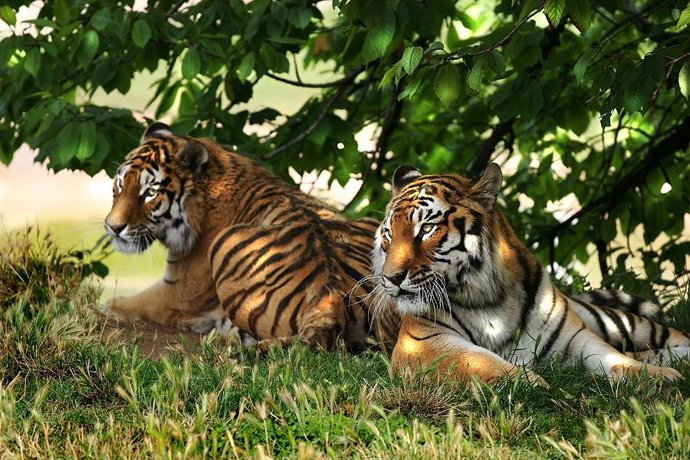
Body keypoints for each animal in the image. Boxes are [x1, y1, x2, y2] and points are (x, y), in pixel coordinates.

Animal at [103, 122, 400, 351]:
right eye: (120, 183)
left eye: (150, 193)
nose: (112, 227)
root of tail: (331, 296)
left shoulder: (177, 292)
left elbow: (117, 303)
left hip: (225, 243)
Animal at [372, 163, 690, 384]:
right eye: (389, 234)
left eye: (426, 228)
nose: (391, 278)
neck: (488, 297)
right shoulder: (422, 343)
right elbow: (479, 362)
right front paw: (532, 383)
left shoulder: (573, 336)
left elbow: (612, 356)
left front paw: (659, 377)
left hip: (618, 322)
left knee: (670, 335)